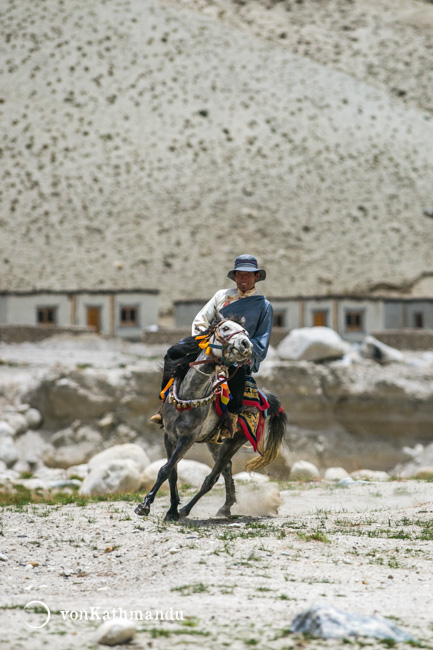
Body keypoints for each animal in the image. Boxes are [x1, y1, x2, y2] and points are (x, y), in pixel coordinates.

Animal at [133, 316, 286, 520]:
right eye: (225, 328)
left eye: (246, 333)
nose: (246, 345)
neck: (190, 395)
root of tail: (264, 398)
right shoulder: (169, 436)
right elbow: (171, 473)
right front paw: (171, 510)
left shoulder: (187, 439)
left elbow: (165, 470)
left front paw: (146, 506)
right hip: (214, 443)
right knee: (226, 470)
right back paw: (225, 508)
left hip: (234, 441)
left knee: (212, 477)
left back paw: (187, 509)